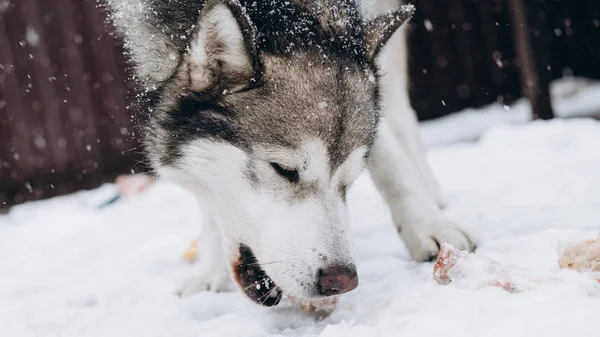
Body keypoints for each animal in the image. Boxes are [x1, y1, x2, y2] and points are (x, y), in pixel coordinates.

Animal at [105, 0, 476, 304]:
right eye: (284, 170)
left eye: (349, 181)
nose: (342, 281)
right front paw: (209, 272)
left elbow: (390, 160)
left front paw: (428, 226)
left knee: (399, 110)